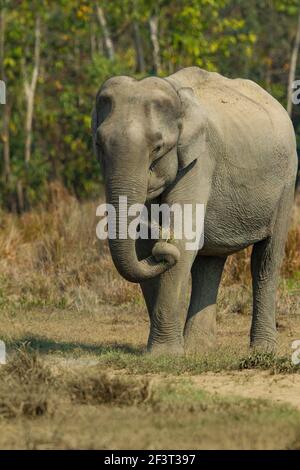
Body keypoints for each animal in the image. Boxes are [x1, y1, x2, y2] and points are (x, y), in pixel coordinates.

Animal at [92, 64, 298, 354]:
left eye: (158, 147)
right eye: (98, 144)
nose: (161, 235)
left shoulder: (200, 161)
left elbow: (182, 238)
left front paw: (164, 354)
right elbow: (143, 248)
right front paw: (165, 352)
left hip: (287, 182)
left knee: (266, 260)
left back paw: (262, 350)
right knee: (208, 263)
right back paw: (200, 349)